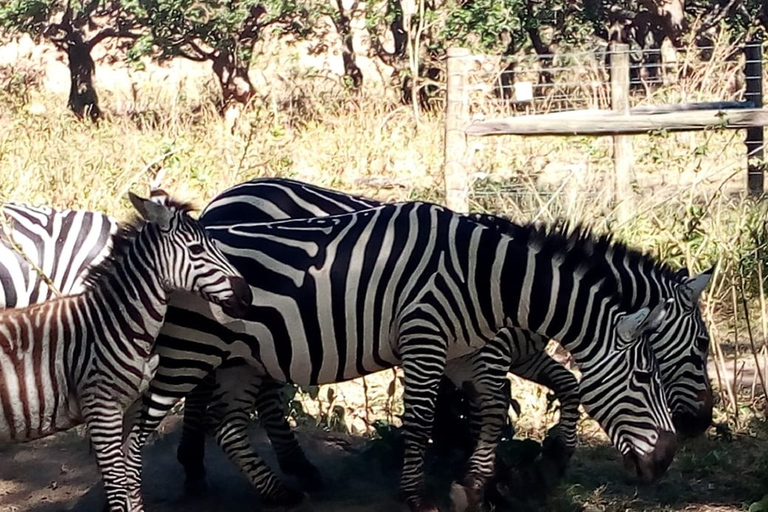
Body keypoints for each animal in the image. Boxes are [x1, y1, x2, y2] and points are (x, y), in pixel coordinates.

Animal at [0, 193, 252, 512]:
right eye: (196, 249)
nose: (247, 296)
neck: (117, 322)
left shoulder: (130, 407)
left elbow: (131, 477)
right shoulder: (102, 408)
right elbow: (118, 486)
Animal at [123, 195, 680, 512]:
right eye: (645, 378)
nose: (669, 457)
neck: (488, 278)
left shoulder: (464, 352)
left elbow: (493, 409)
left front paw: (474, 487)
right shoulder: (425, 339)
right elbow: (420, 420)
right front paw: (417, 496)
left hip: (238, 358)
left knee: (230, 424)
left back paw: (279, 492)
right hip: (192, 350)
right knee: (142, 423)